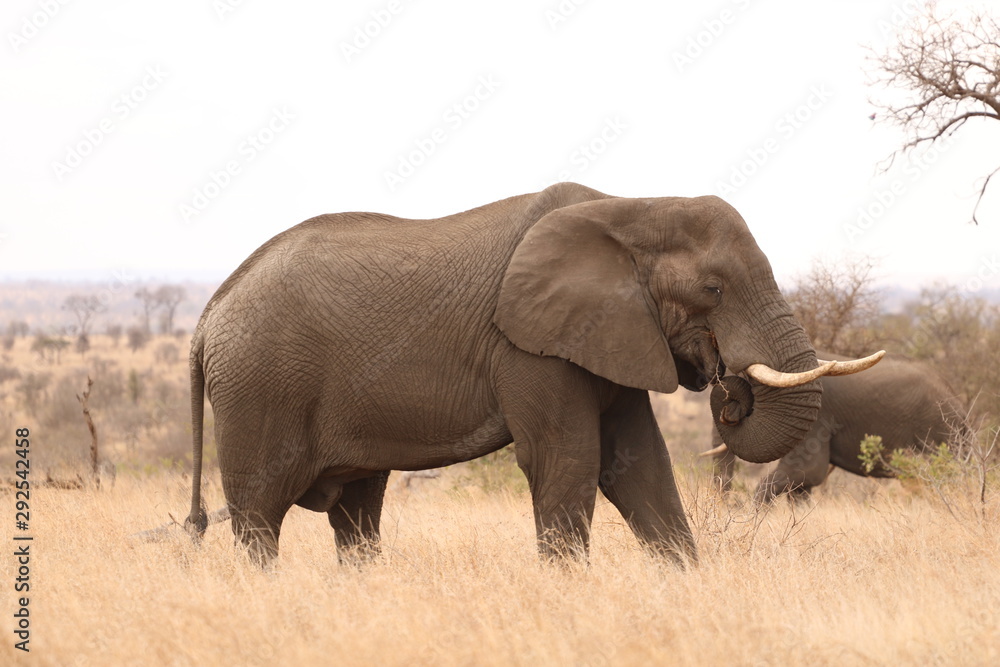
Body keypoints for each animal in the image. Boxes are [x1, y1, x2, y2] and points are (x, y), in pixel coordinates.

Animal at [183, 181, 882, 565]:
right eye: (713, 288)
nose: (727, 387)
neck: (633, 207)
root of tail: (208, 315)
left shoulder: (608, 332)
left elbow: (638, 465)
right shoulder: (528, 345)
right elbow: (566, 460)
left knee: (356, 515)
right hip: (259, 388)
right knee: (260, 516)